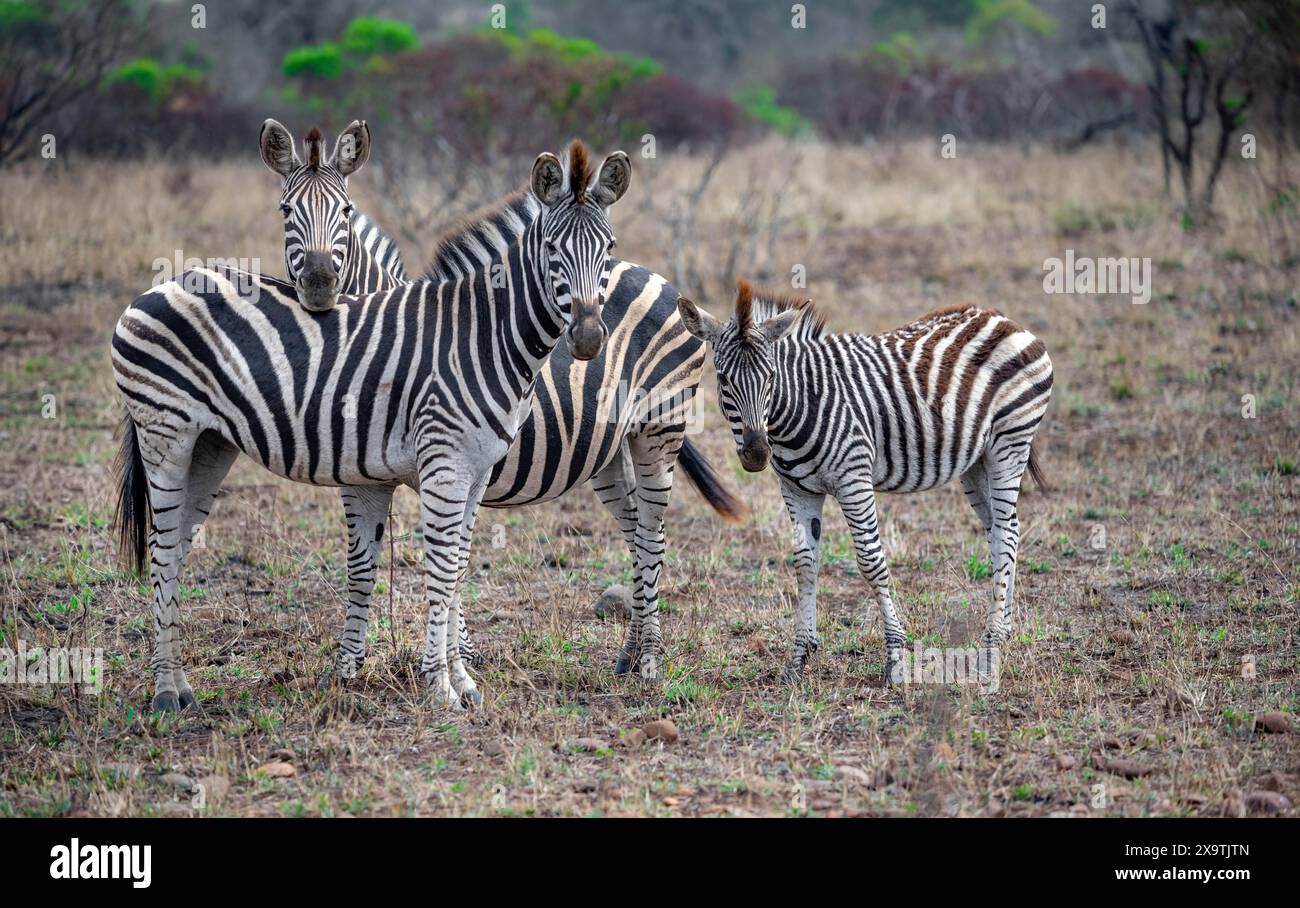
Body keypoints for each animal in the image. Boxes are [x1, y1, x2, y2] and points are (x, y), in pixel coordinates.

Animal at [112, 140, 631, 712]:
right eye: (553, 249)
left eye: (608, 249)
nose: (588, 339)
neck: (485, 335)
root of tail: (162, 284)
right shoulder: (443, 466)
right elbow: (440, 571)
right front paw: (439, 687)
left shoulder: (475, 473)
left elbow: (457, 569)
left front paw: (462, 681)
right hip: (166, 434)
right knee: (162, 551)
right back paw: (164, 693)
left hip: (209, 444)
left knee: (180, 546)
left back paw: (182, 688)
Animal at [262, 124, 745, 682]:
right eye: (285, 211)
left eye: (344, 211)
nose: (320, 288)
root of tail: (658, 276)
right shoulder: (365, 472)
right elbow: (366, 566)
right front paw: (350, 670)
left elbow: (449, 564)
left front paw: (457, 662)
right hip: (608, 450)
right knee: (634, 532)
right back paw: (629, 653)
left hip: (659, 431)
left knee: (652, 535)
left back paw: (648, 661)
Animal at [677, 281, 1053, 684]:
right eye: (722, 378)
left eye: (772, 376)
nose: (756, 453)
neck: (801, 402)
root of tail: (1001, 318)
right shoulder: (796, 489)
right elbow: (805, 563)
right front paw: (798, 659)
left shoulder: (853, 479)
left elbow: (871, 561)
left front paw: (896, 660)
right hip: (976, 461)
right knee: (1002, 530)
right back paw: (1003, 632)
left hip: (1009, 445)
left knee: (1006, 533)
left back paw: (990, 648)